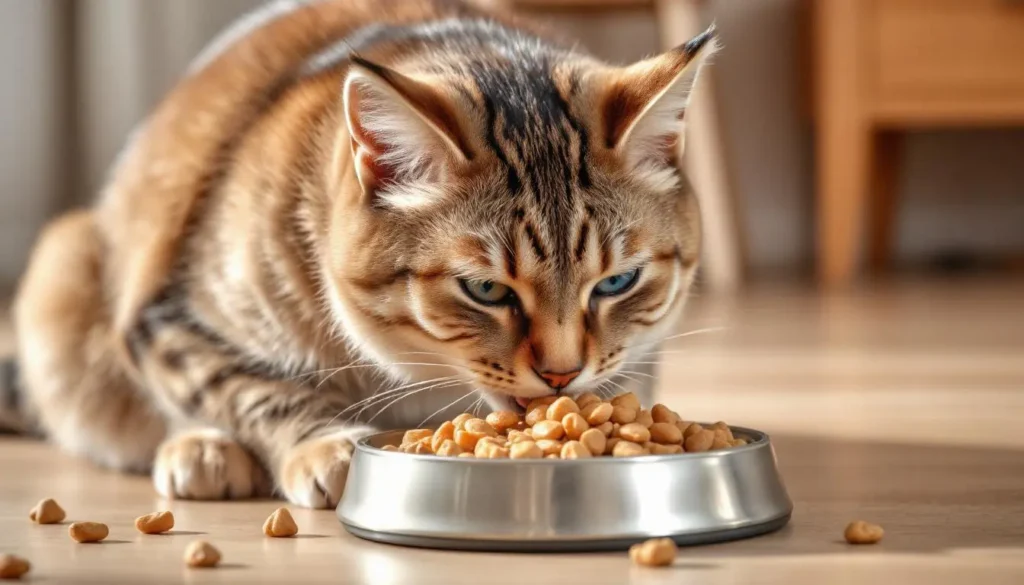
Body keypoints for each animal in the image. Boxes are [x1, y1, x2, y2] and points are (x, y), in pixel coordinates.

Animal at [2, 0, 712, 508]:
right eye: (485, 290)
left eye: (618, 282)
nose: (562, 377)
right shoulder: (165, 316)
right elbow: (247, 388)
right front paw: (330, 448)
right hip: (65, 271)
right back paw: (197, 452)